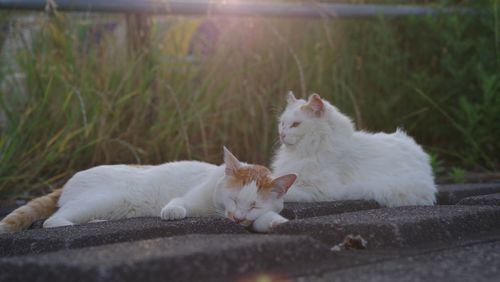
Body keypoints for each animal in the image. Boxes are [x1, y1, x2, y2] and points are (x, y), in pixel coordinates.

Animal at [0, 148, 296, 234]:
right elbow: (179, 203)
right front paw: (172, 212)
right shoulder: (191, 197)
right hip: (105, 199)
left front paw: (275, 223)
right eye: (233, 199)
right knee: (51, 221)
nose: (236, 218)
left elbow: (266, 219)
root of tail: (69, 179)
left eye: (254, 206)